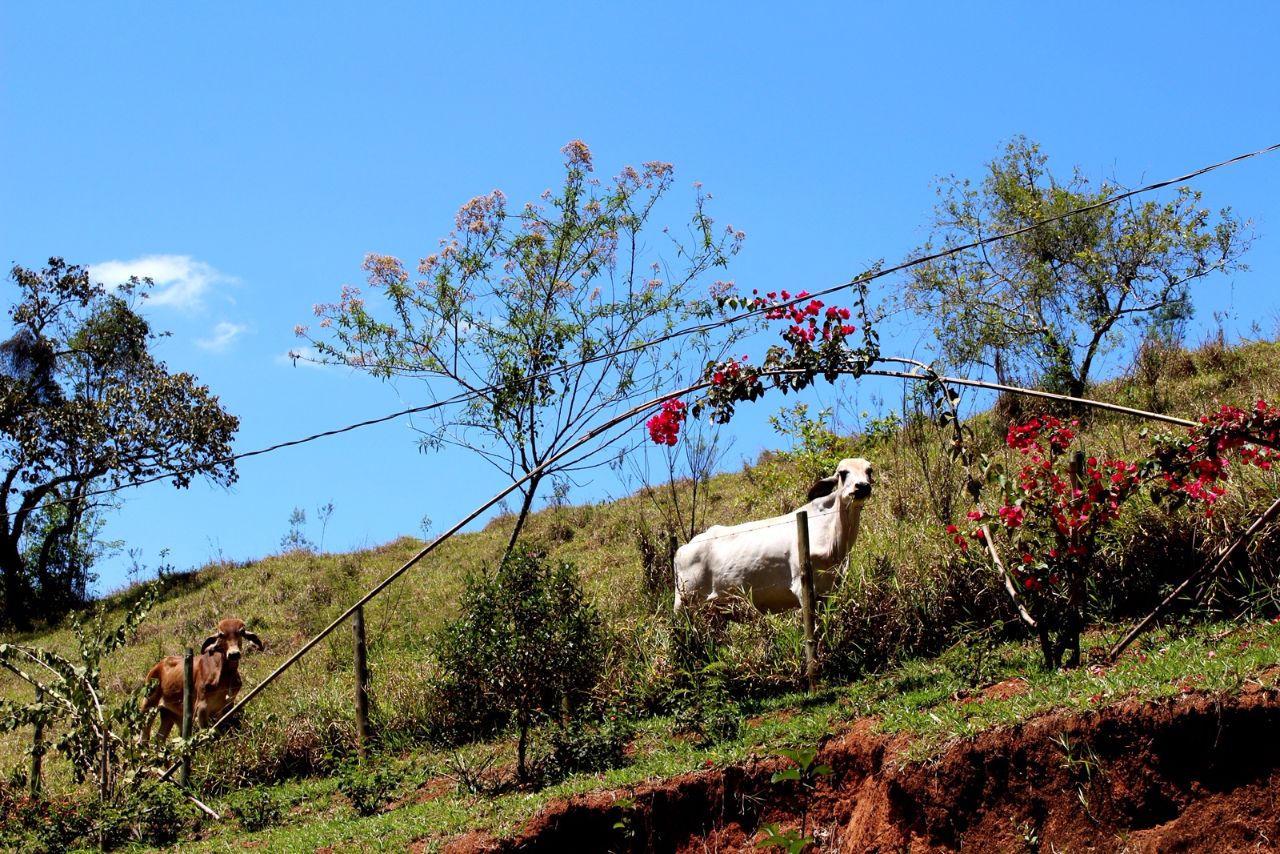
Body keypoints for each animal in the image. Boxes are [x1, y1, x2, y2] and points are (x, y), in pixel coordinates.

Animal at [675, 460, 875, 614]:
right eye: (843, 473)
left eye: (869, 471)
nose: (862, 486)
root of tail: (682, 549)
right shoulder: (802, 588)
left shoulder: (830, 590)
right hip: (683, 603)